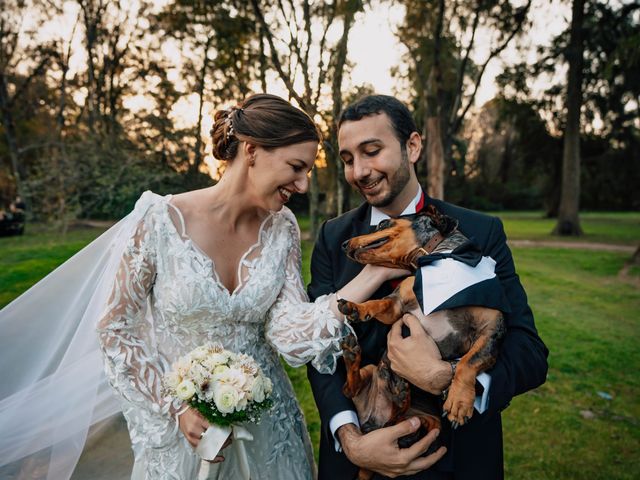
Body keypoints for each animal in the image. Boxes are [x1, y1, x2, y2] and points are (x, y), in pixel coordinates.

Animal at [338, 205, 508, 480]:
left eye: (383, 223)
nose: (343, 244)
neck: (434, 260)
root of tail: (372, 422)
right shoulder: (396, 306)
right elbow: (378, 304)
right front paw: (356, 307)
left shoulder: (492, 329)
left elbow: (468, 362)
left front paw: (460, 401)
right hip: (372, 370)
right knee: (350, 390)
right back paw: (359, 361)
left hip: (431, 429)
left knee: (402, 423)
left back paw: (399, 396)